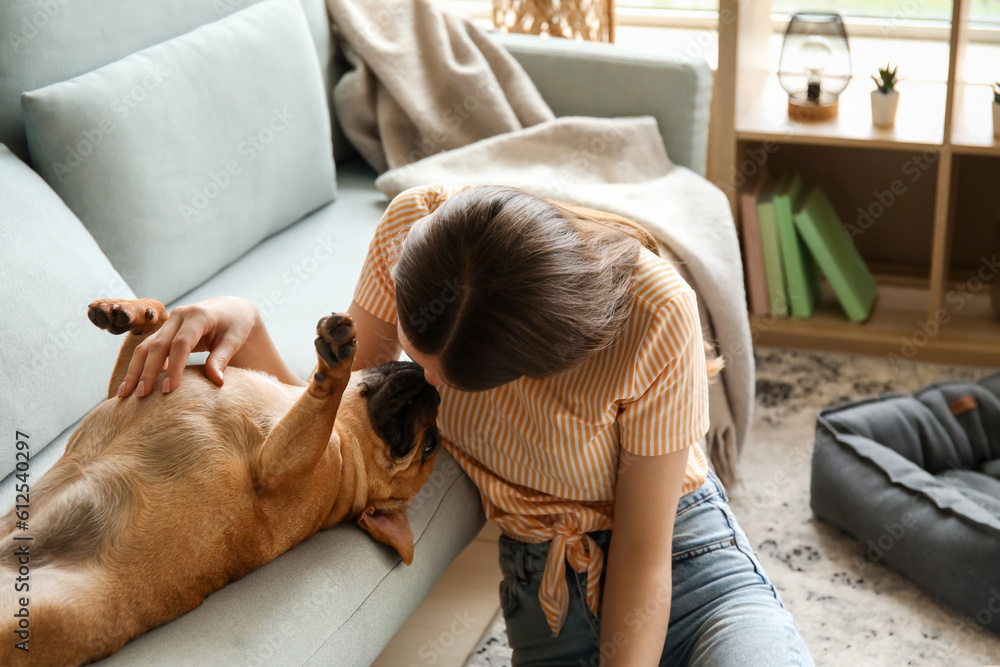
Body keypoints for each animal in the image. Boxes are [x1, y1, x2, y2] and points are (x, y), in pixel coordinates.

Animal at [0, 300, 442, 664]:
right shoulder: (133, 382)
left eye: (429, 447)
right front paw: (130, 312)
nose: (435, 389)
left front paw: (336, 365)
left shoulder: (277, 464)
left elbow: (326, 402)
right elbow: (157, 327)